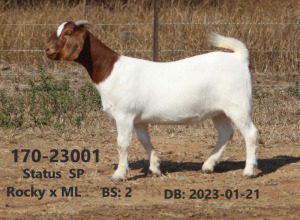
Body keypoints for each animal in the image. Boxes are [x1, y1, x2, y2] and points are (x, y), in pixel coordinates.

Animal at [45, 20, 258, 181]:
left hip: (238, 105)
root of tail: (239, 58)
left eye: (67, 33)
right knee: (225, 133)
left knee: (250, 133)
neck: (110, 71)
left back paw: (248, 171)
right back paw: (208, 165)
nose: (47, 50)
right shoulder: (138, 119)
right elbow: (144, 140)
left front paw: (119, 174)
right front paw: (155, 168)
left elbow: (122, 143)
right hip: (219, 111)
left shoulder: (124, 115)